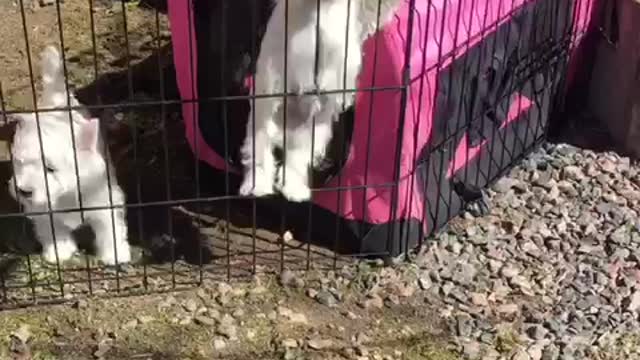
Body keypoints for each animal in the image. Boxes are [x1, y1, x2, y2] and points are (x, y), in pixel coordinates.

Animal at [6, 45, 130, 264]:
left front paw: (115, 254)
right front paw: (59, 251)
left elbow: (110, 228)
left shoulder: (104, 200)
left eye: (51, 169)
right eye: (19, 163)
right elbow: (53, 230)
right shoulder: (43, 211)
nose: (24, 191)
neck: (66, 195)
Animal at [239, 0, 362, 202]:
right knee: (260, 151)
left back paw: (294, 190)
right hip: (263, 121)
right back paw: (257, 186)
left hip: (310, 133)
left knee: (295, 160)